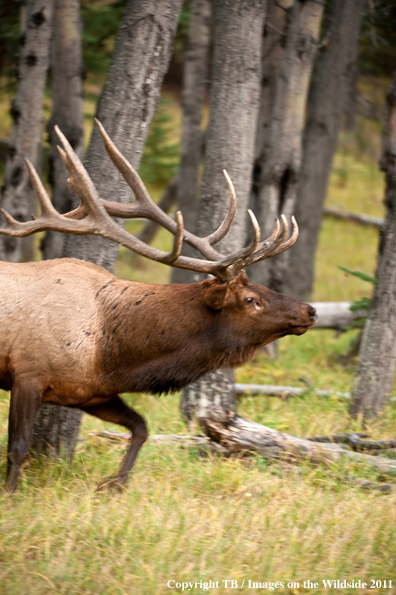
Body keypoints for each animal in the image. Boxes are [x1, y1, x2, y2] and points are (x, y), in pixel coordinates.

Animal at [0, 118, 316, 492]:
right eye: (251, 300)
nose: (310, 310)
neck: (112, 353)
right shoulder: (28, 372)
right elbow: (17, 446)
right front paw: (11, 493)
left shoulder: (88, 391)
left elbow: (141, 426)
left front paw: (115, 482)